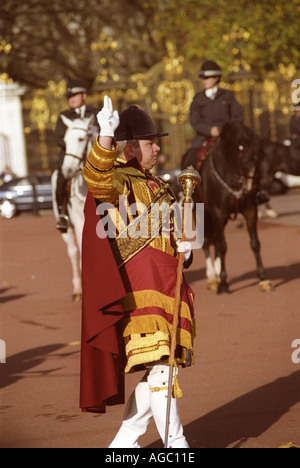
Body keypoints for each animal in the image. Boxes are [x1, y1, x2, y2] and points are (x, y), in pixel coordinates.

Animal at [51, 115, 98, 302]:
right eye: (64, 140)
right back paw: (78, 289)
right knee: (73, 252)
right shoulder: (80, 222)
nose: (68, 170)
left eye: (81, 139)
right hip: (67, 228)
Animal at [182, 122, 274, 294]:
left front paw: (263, 280)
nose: (248, 189)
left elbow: (254, 243)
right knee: (207, 242)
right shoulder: (218, 213)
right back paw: (213, 278)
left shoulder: (250, 210)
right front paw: (223, 284)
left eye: (260, 159)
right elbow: (223, 246)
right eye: (245, 159)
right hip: (201, 213)